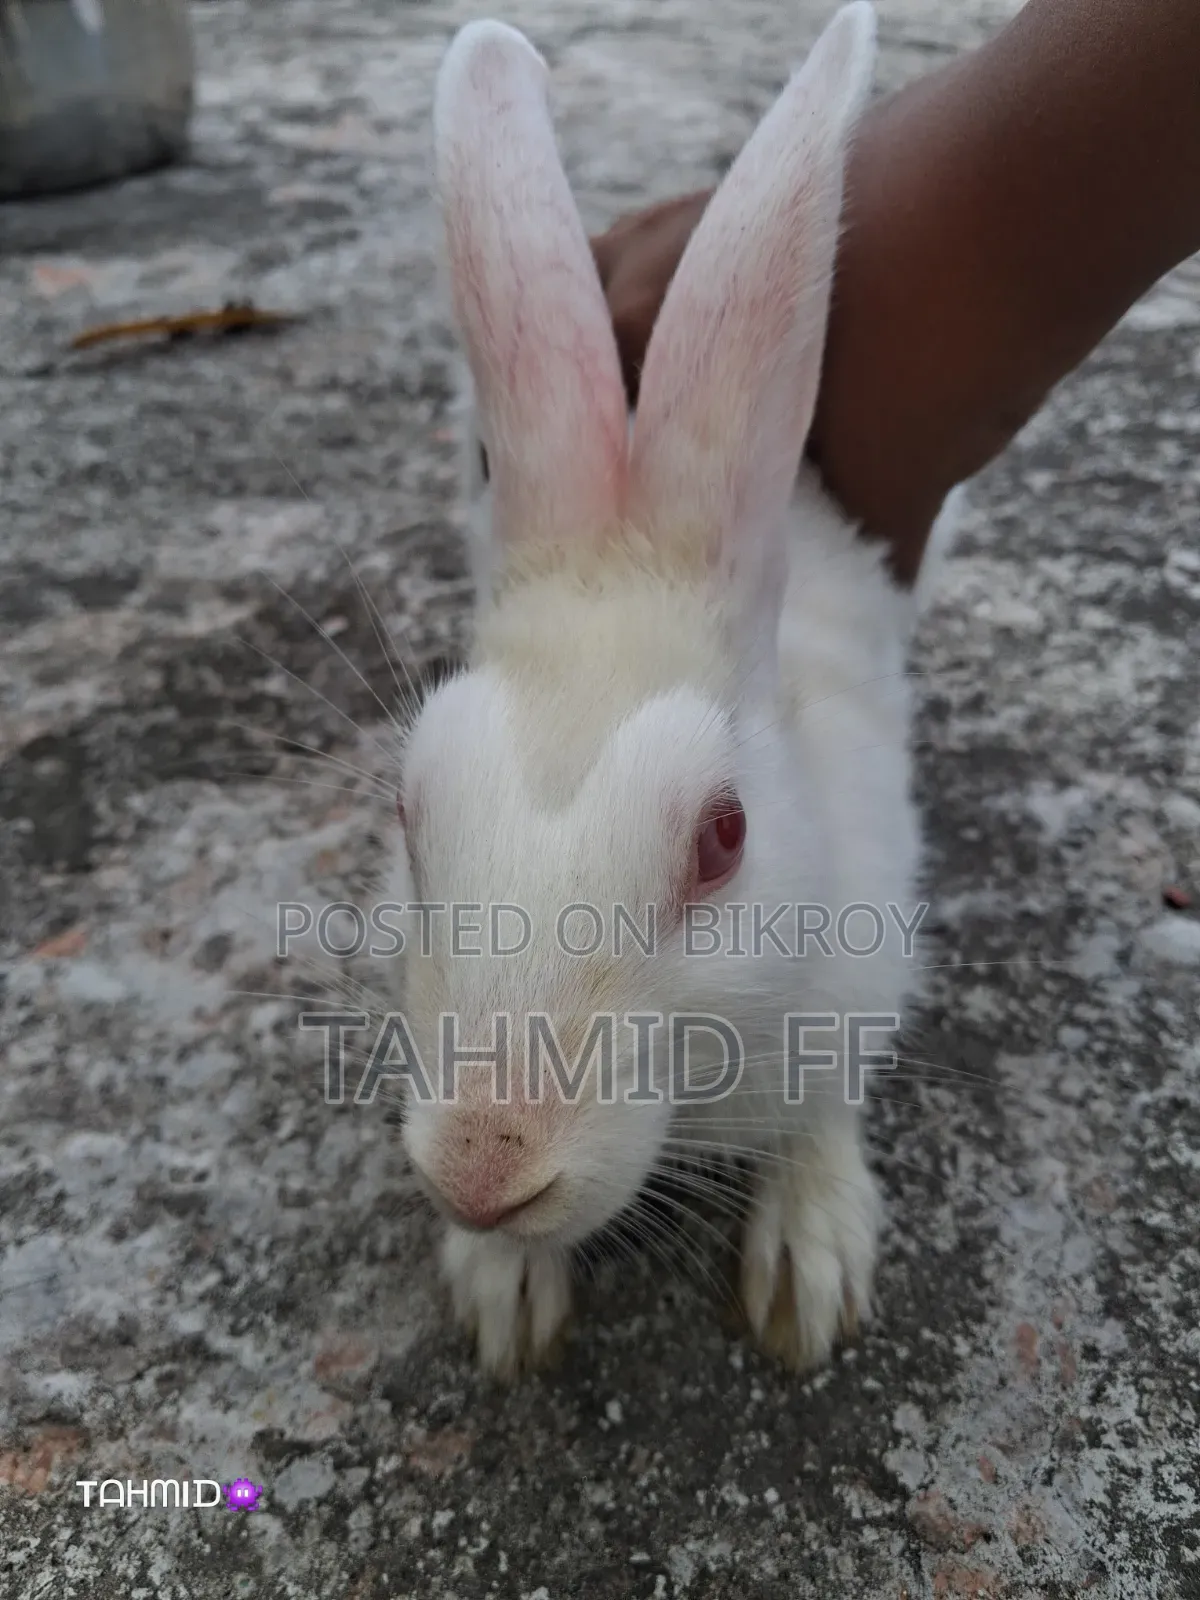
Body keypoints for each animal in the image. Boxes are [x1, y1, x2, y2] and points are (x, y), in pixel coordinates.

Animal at [385, 1, 958, 1380]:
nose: (487, 1174)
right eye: (408, 819)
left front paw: (808, 1276)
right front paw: (502, 1294)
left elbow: (825, 1111)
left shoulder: (860, 974)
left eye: (724, 836)